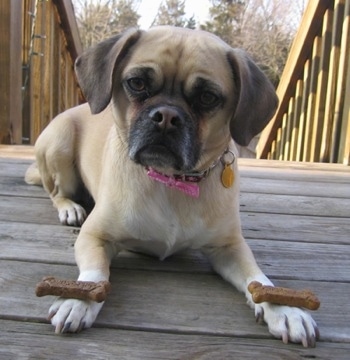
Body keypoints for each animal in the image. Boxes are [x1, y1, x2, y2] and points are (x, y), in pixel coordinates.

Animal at [26, 25, 318, 346]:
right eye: (137, 83)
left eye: (207, 97)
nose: (166, 116)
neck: (172, 181)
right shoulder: (95, 237)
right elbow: (95, 272)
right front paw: (79, 298)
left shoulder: (230, 247)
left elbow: (257, 278)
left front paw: (284, 308)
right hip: (60, 144)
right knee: (56, 192)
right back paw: (70, 208)